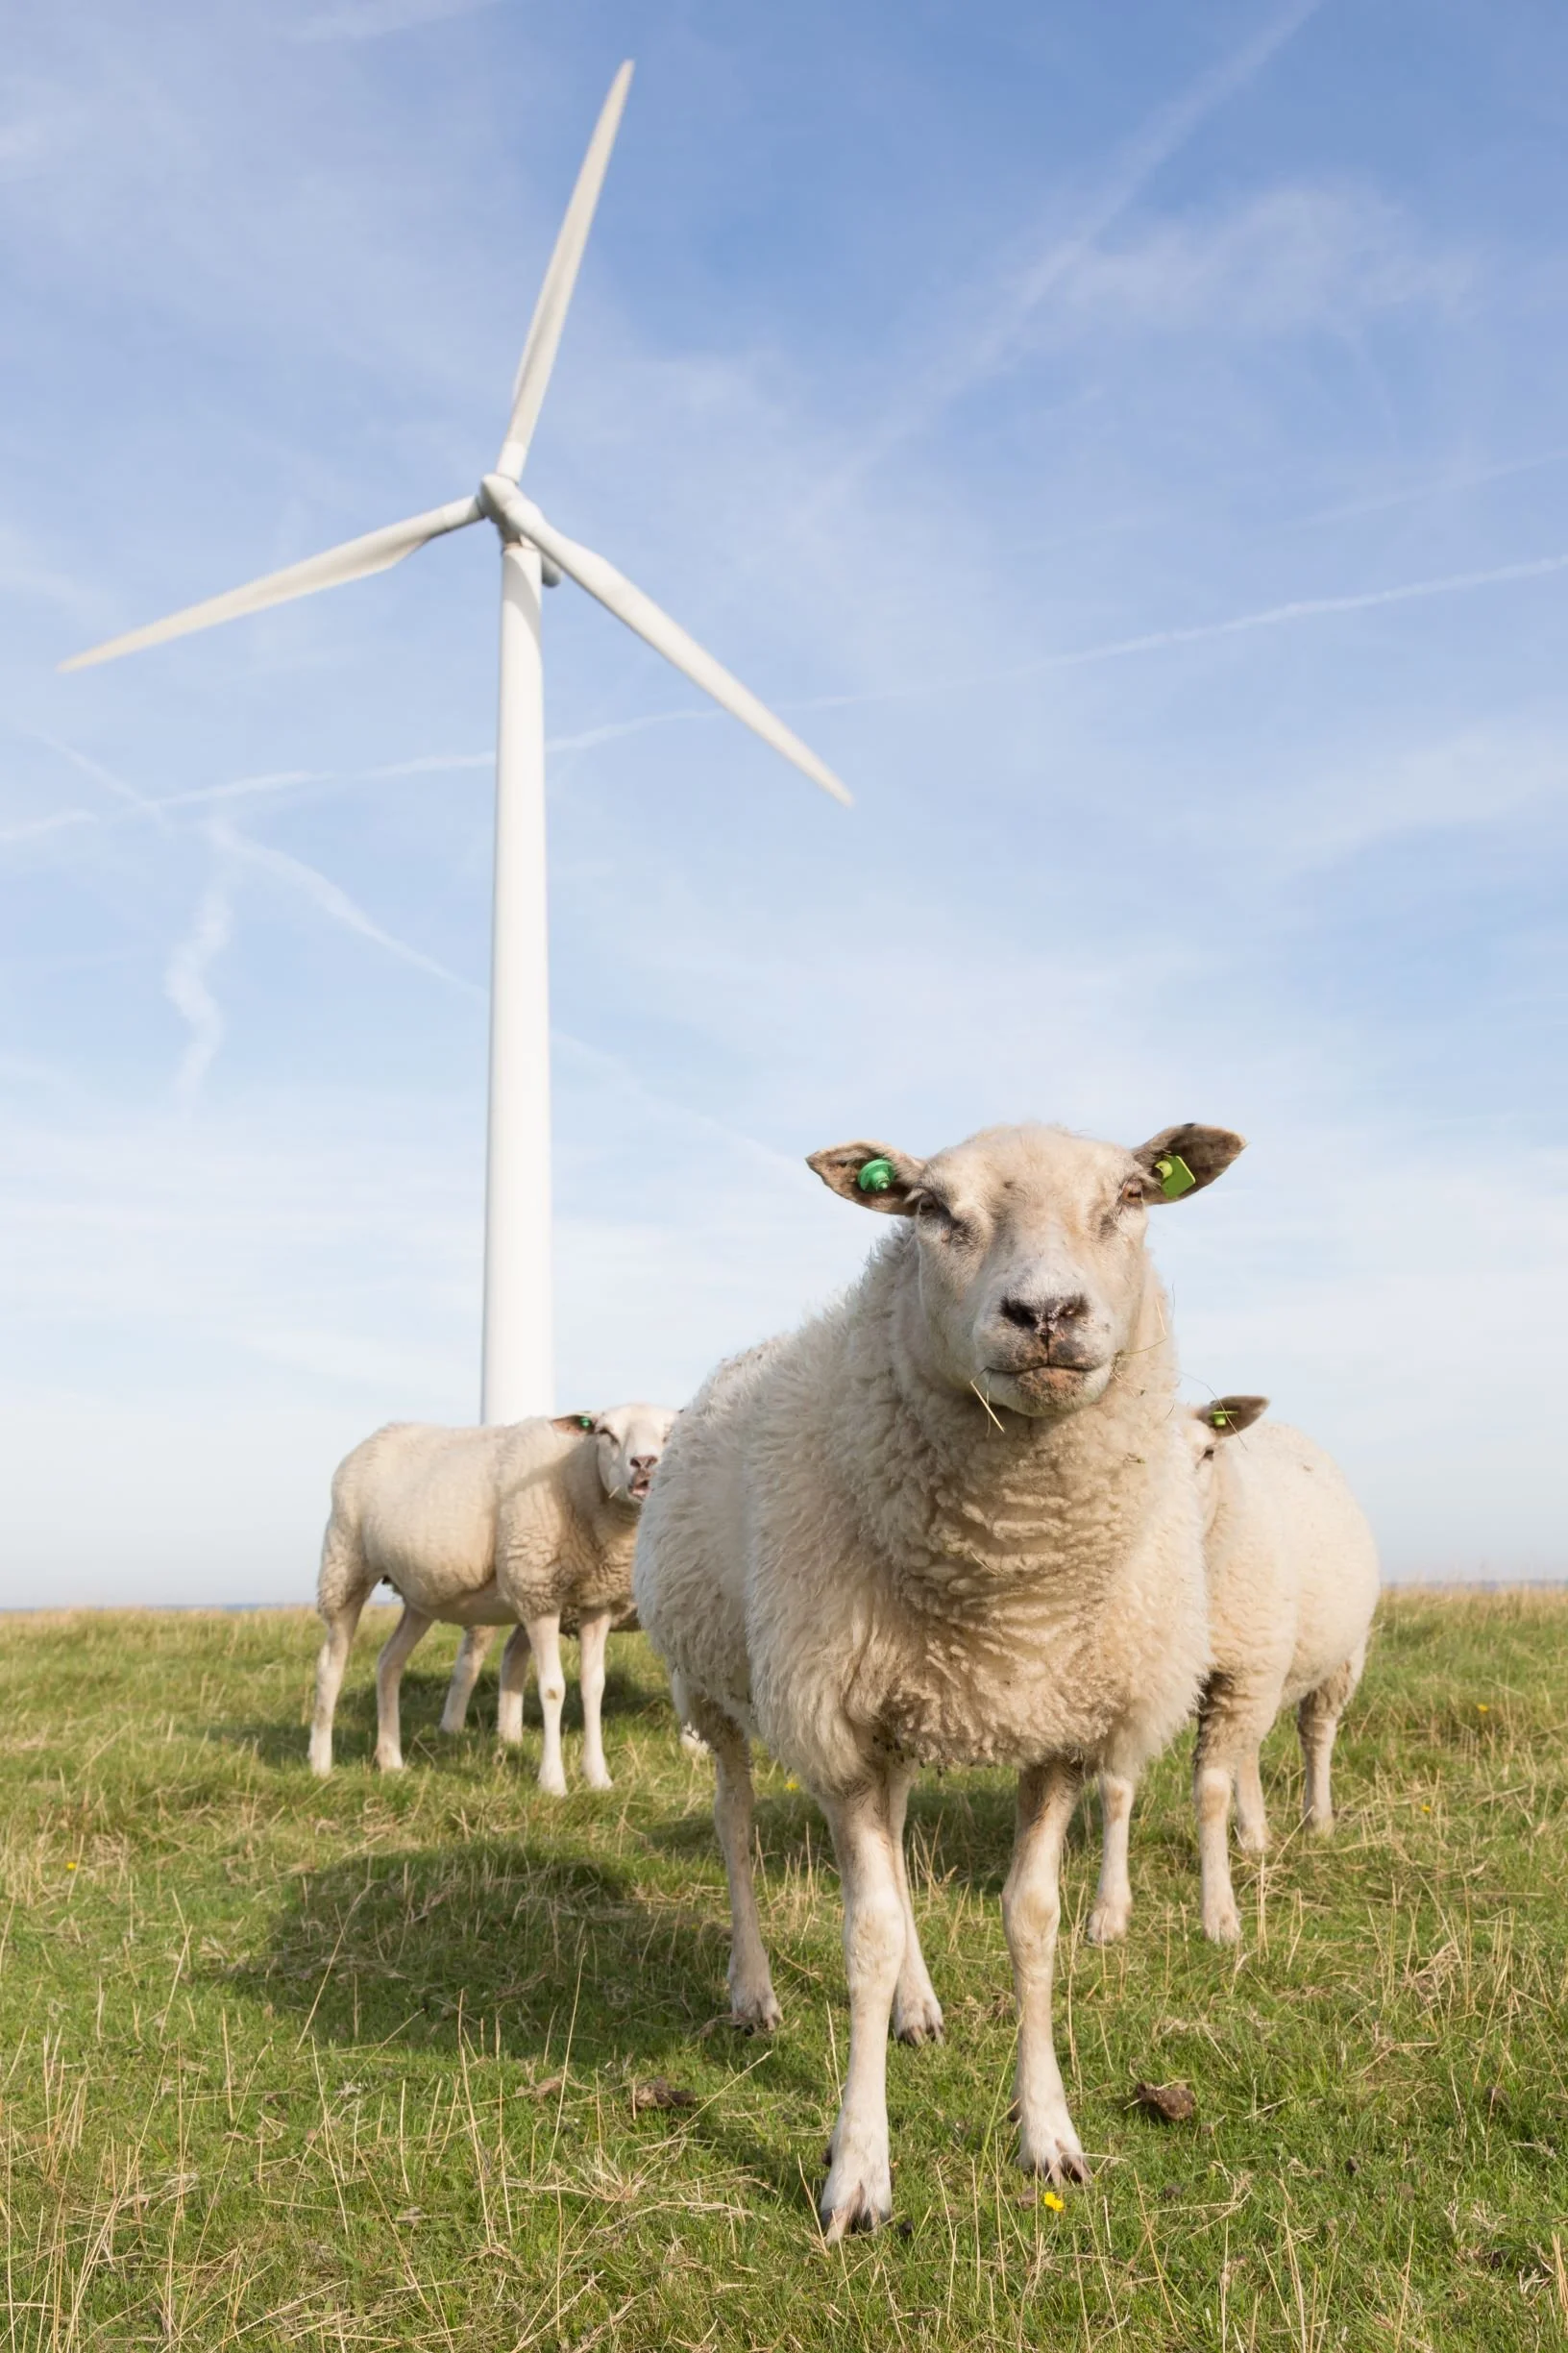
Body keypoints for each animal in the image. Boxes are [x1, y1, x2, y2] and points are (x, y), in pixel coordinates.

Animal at [309, 1402, 676, 1791]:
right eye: (605, 1433)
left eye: (670, 1433)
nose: (644, 1462)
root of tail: (377, 1436)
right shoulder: (537, 1594)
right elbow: (552, 1689)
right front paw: (553, 1782)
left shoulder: (598, 1602)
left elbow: (594, 1687)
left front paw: (598, 1777)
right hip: (345, 1564)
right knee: (330, 1666)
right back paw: (320, 1763)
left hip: (420, 1596)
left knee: (389, 1663)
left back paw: (391, 1760)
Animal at [633, 1119, 1245, 2238]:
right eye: (929, 1208)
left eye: (1133, 1194)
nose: (1046, 1314)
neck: (1012, 1599)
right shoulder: (834, 1731)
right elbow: (866, 1933)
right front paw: (858, 2171)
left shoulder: (1057, 1729)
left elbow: (1032, 1924)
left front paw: (1049, 2134)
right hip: (720, 1691)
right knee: (738, 1834)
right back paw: (754, 1991)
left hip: (903, 1715)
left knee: (901, 1835)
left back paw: (918, 2007)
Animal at [1088, 1394, 1379, 1948]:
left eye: (1207, 1453)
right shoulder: (1131, 1685)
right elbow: (1115, 1791)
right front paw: (1108, 1912)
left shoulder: (1244, 1674)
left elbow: (1210, 1795)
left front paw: (1219, 1915)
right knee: (1247, 1752)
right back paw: (1255, 1833)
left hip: (1332, 1658)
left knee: (1316, 1734)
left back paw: (1318, 1819)